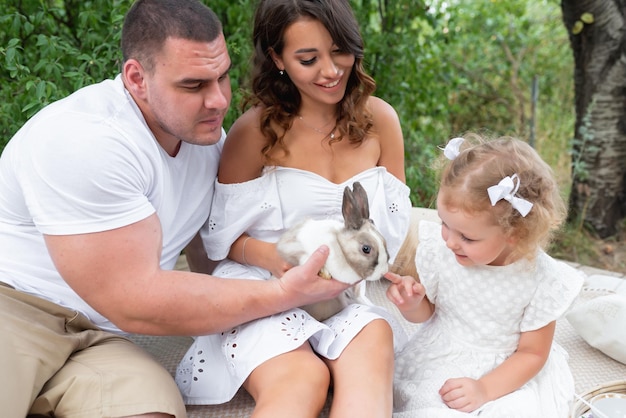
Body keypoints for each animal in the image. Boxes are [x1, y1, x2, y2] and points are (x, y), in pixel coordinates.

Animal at [276, 181, 388, 322]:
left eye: (384, 242)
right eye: (366, 249)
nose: (383, 273)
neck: (339, 246)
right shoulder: (293, 244)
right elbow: (303, 256)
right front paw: (324, 271)